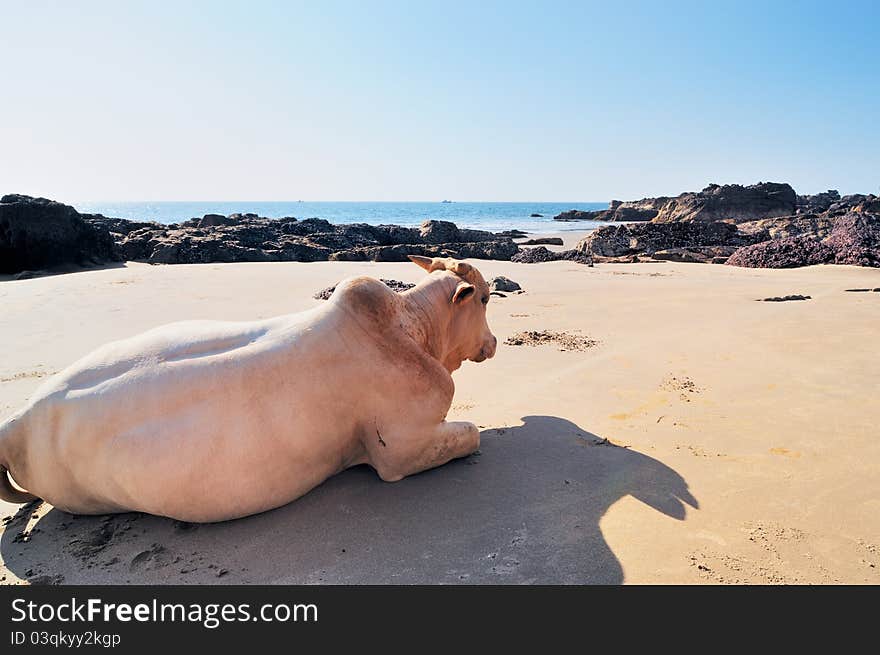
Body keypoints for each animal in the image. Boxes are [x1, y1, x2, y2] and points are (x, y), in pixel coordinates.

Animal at [0, 255, 496, 524]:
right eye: (487, 298)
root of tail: (15, 426)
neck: (410, 327)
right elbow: (471, 434)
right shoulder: (403, 450)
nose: (492, 343)